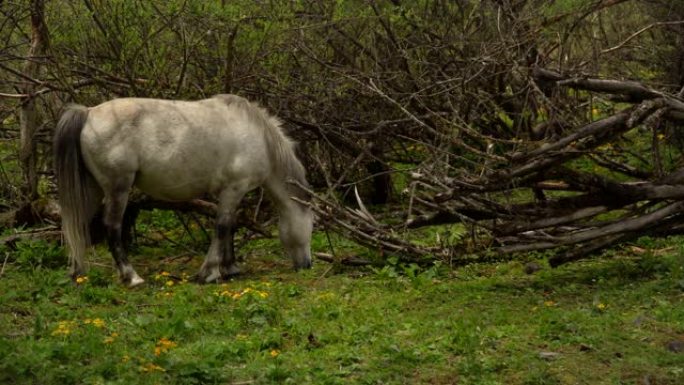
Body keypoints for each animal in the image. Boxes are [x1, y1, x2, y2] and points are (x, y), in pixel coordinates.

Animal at [54, 94, 314, 284]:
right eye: (311, 226)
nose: (307, 264)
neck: (259, 138)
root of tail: (88, 113)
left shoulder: (230, 193)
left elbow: (230, 226)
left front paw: (230, 267)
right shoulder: (234, 189)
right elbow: (222, 227)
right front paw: (210, 272)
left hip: (92, 189)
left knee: (77, 224)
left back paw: (77, 274)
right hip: (118, 189)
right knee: (112, 227)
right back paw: (131, 277)